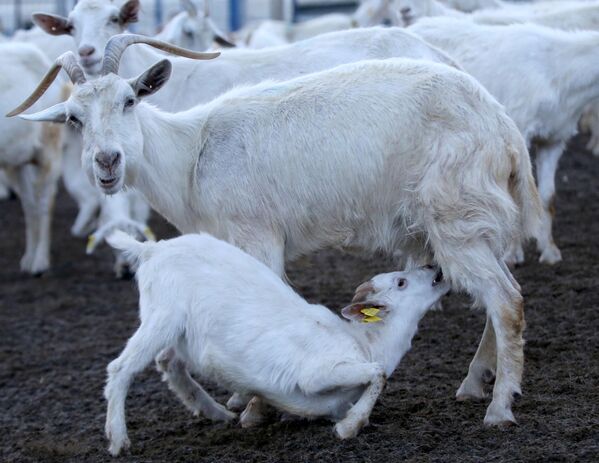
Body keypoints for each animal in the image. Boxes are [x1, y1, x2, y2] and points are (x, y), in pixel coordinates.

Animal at [0, 42, 64, 276]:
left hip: (49, 151)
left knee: (45, 202)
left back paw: (40, 262)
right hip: (19, 162)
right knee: (29, 204)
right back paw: (28, 259)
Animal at [9, 36, 544, 428]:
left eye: (128, 100)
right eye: (73, 118)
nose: (107, 163)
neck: (192, 156)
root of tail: (504, 126)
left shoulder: (257, 237)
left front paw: (254, 406)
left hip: (456, 215)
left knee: (505, 300)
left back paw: (498, 407)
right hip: (470, 219)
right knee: (500, 293)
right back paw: (475, 383)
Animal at [410, 18, 599, 264]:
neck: (556, 69)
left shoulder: (554, 139)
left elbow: (548, 197)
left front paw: (549, 251)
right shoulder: (520, 131)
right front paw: (512, 254)